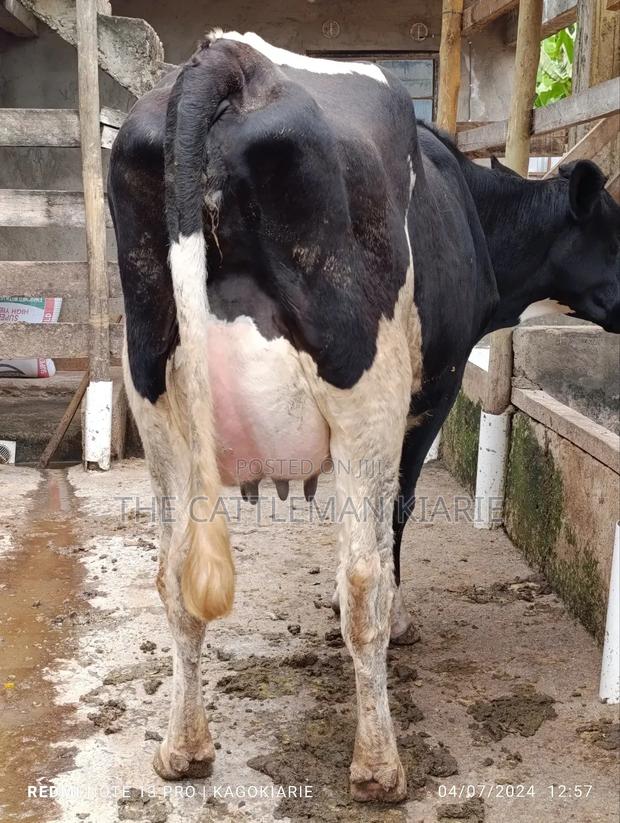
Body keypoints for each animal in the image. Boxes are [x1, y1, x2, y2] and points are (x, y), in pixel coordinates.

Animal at [108, 30, 620, 803]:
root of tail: (233, 58)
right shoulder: (432, 390)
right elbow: (396, 521)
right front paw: (401, 621)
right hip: (365, 389)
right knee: (361, 578)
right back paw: (379, 765)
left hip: (155, 393)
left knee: (174, 576)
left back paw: (182, 748)